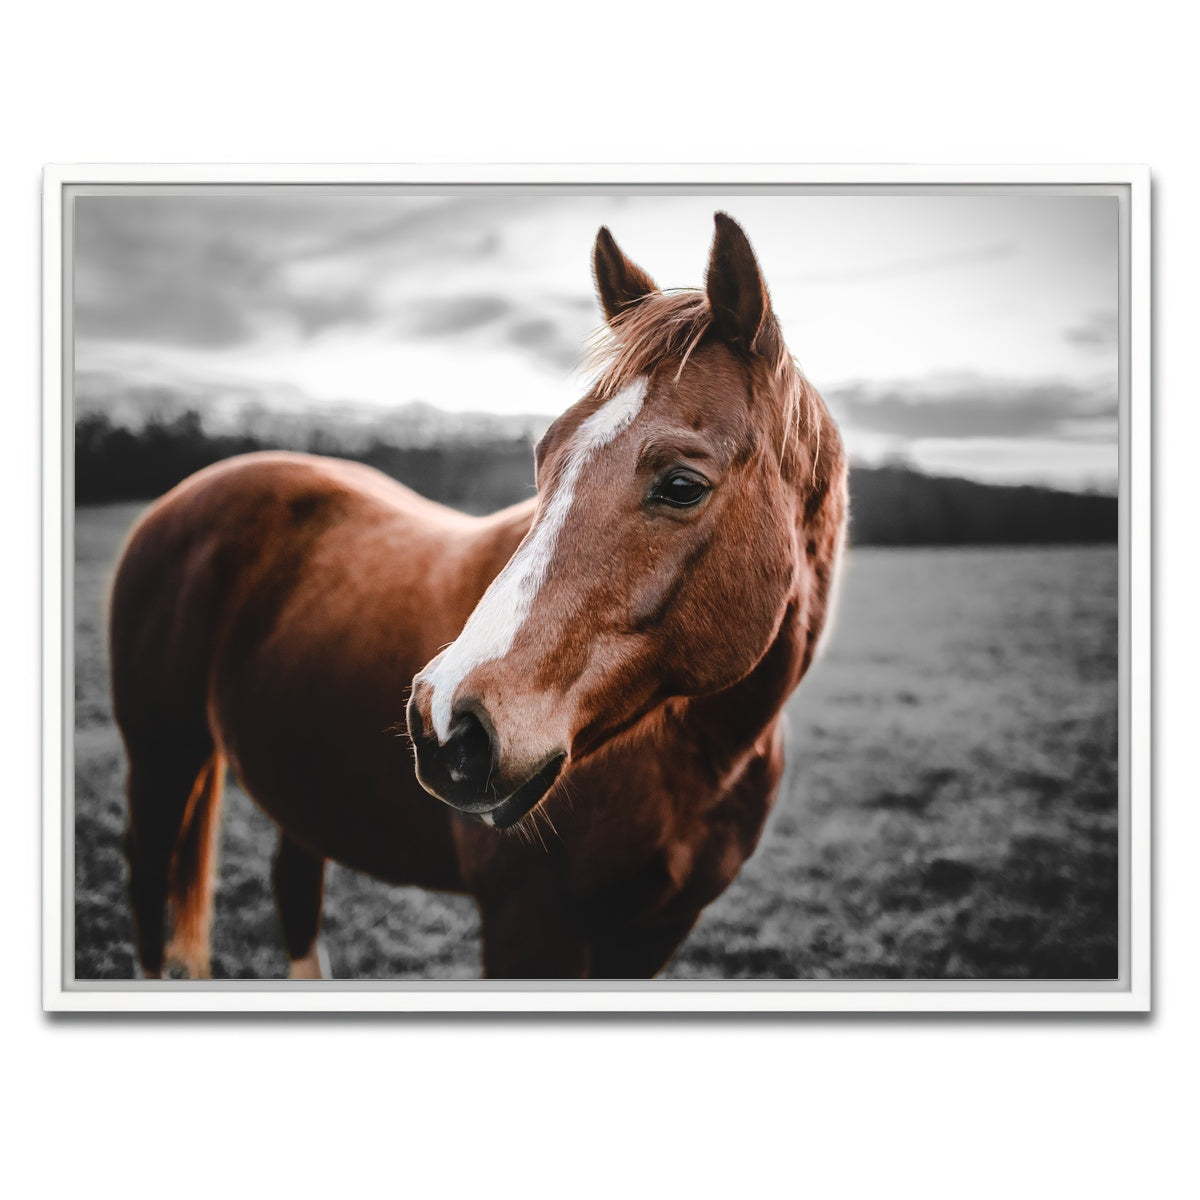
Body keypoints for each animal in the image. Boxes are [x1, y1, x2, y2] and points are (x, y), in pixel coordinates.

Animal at [109, 212, 848, 980]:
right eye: (544, 456)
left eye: (681, 485)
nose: (444, 724)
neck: (700, 760)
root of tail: (183, 498)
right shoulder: (530, 925)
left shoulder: (654, 933)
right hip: (160, 755)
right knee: (150, 880)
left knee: (294, 885)